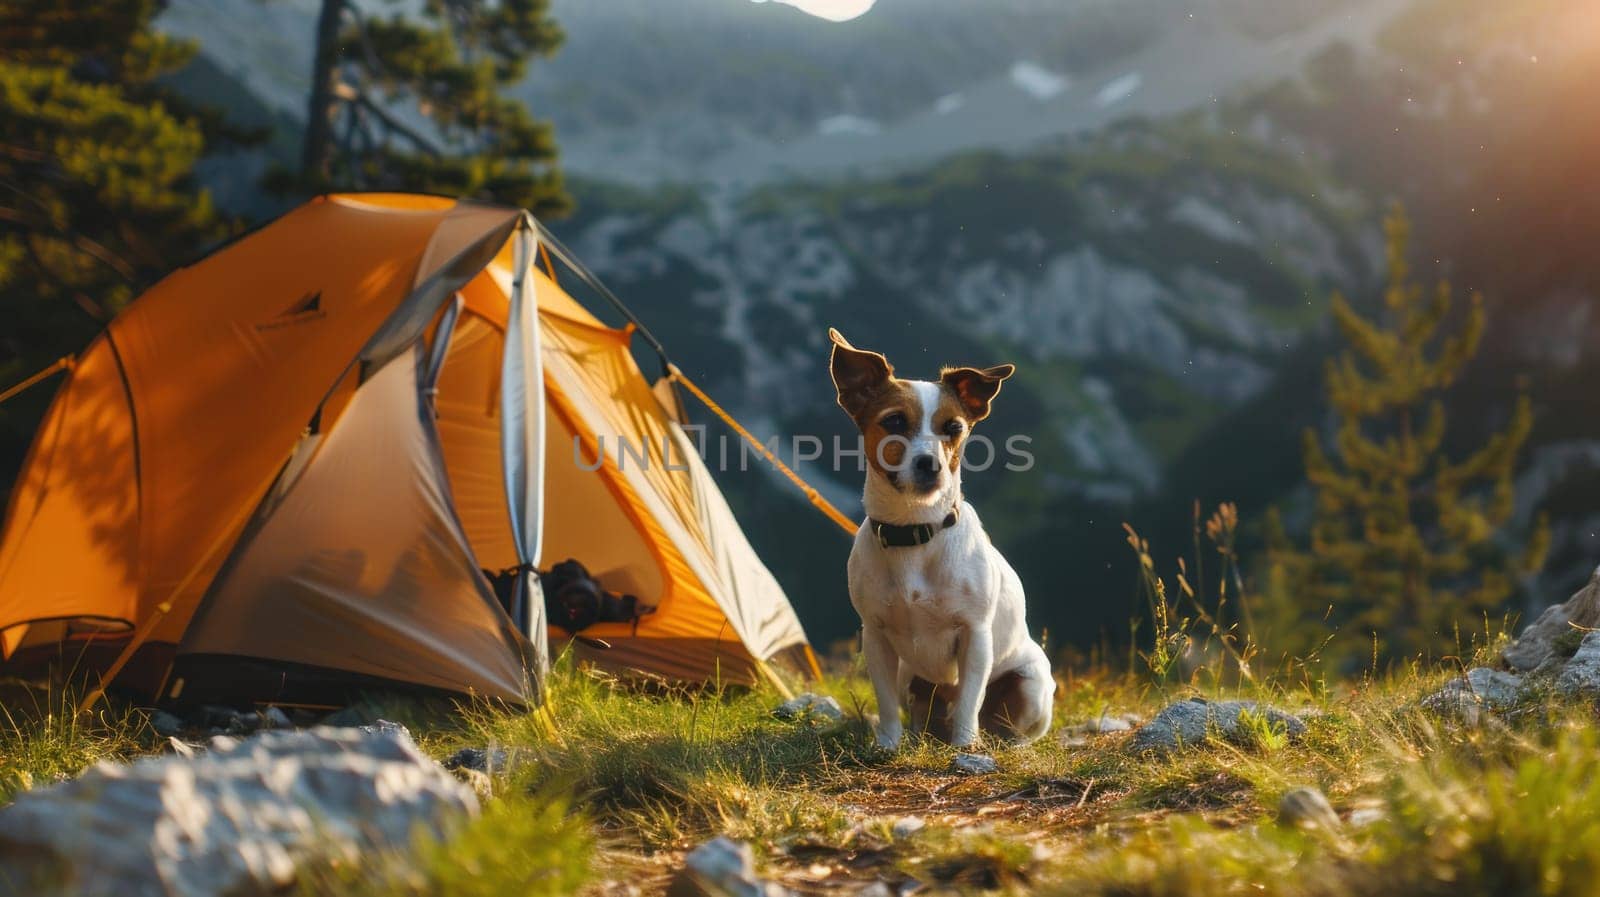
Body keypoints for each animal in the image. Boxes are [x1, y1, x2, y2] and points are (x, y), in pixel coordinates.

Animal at [832, 329, 1056, 748]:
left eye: (954, 428)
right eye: (894, 421)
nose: (930, 464)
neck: (915, 533)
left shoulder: (974, 635)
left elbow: (969, 698)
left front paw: (965, 745)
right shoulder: (875, 635)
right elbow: (886, 702)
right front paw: (887, 744)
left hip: (1031, 684)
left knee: (1010, 725)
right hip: (911, 677)